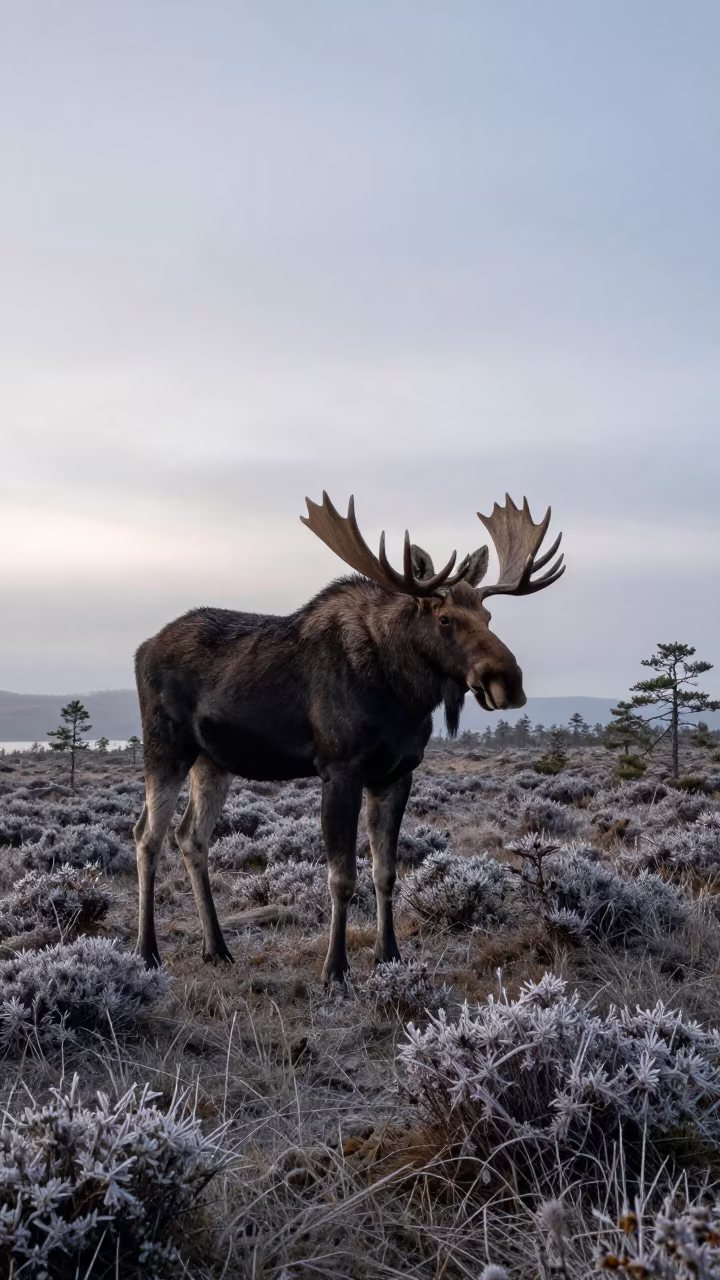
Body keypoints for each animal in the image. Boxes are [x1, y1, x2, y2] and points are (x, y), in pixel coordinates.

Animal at [133, 493, 564, 982]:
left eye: (489, 615)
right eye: (446, 618)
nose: (507, 681)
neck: (402, 696)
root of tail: (141, 649)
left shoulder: (396, 773)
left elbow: (385, 872)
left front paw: (388, 954)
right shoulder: (340, 767)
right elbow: (341, 878)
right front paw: (335, 969)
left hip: (213, 761)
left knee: (191, 837)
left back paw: (217, 948)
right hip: (165, 747)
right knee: (147, 836)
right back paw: (147, 953)